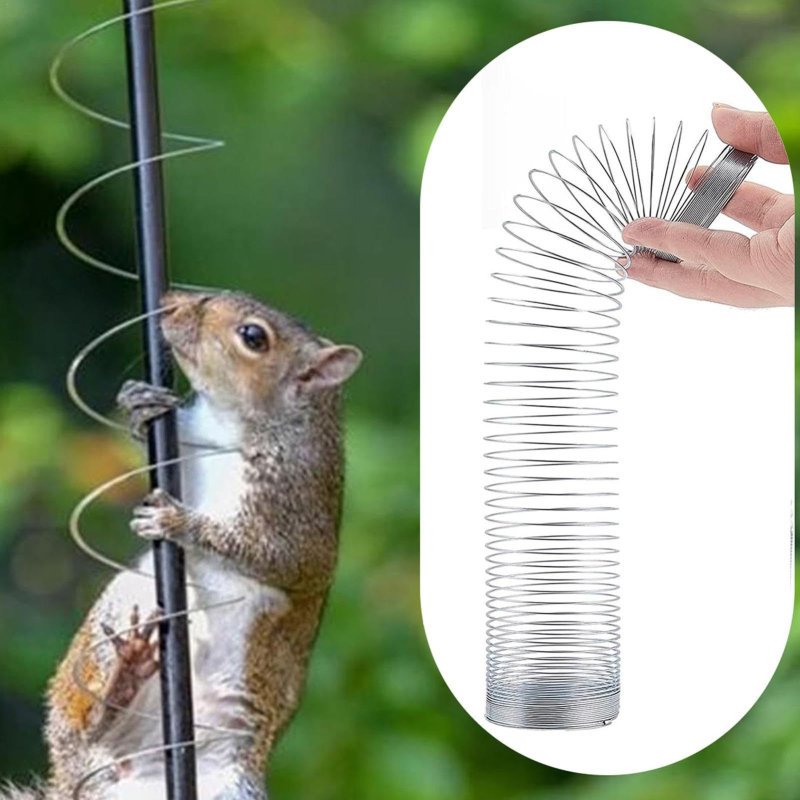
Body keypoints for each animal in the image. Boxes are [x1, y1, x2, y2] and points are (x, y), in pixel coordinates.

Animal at [3, 290, 362, 800]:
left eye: (253, 336)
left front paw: (180, 521)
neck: (229, 424)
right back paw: (124, 678)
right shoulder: (185, 447)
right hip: (115, 616)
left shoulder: (301, 512)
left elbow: (277, 556)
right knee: (89, 727)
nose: (172, 301)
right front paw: (138, 406)